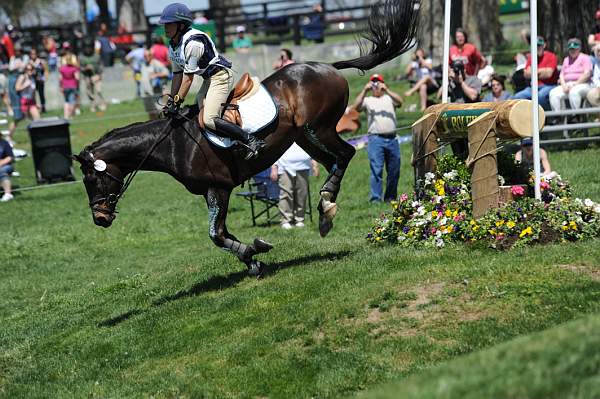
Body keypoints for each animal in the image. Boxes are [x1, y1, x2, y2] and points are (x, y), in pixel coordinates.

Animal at [75, 0, 420, 276]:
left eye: (92, 179)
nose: (100, 218)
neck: (173, 145)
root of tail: (327, 66)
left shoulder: (219, 187)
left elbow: (216, 234)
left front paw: (256, 251)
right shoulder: (211, 192)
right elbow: (221, 234)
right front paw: (253, 258)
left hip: (319, 128)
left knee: (346, 154)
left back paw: (325, 203)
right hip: (305, 137)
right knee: (334, 162)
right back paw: (325, 209)